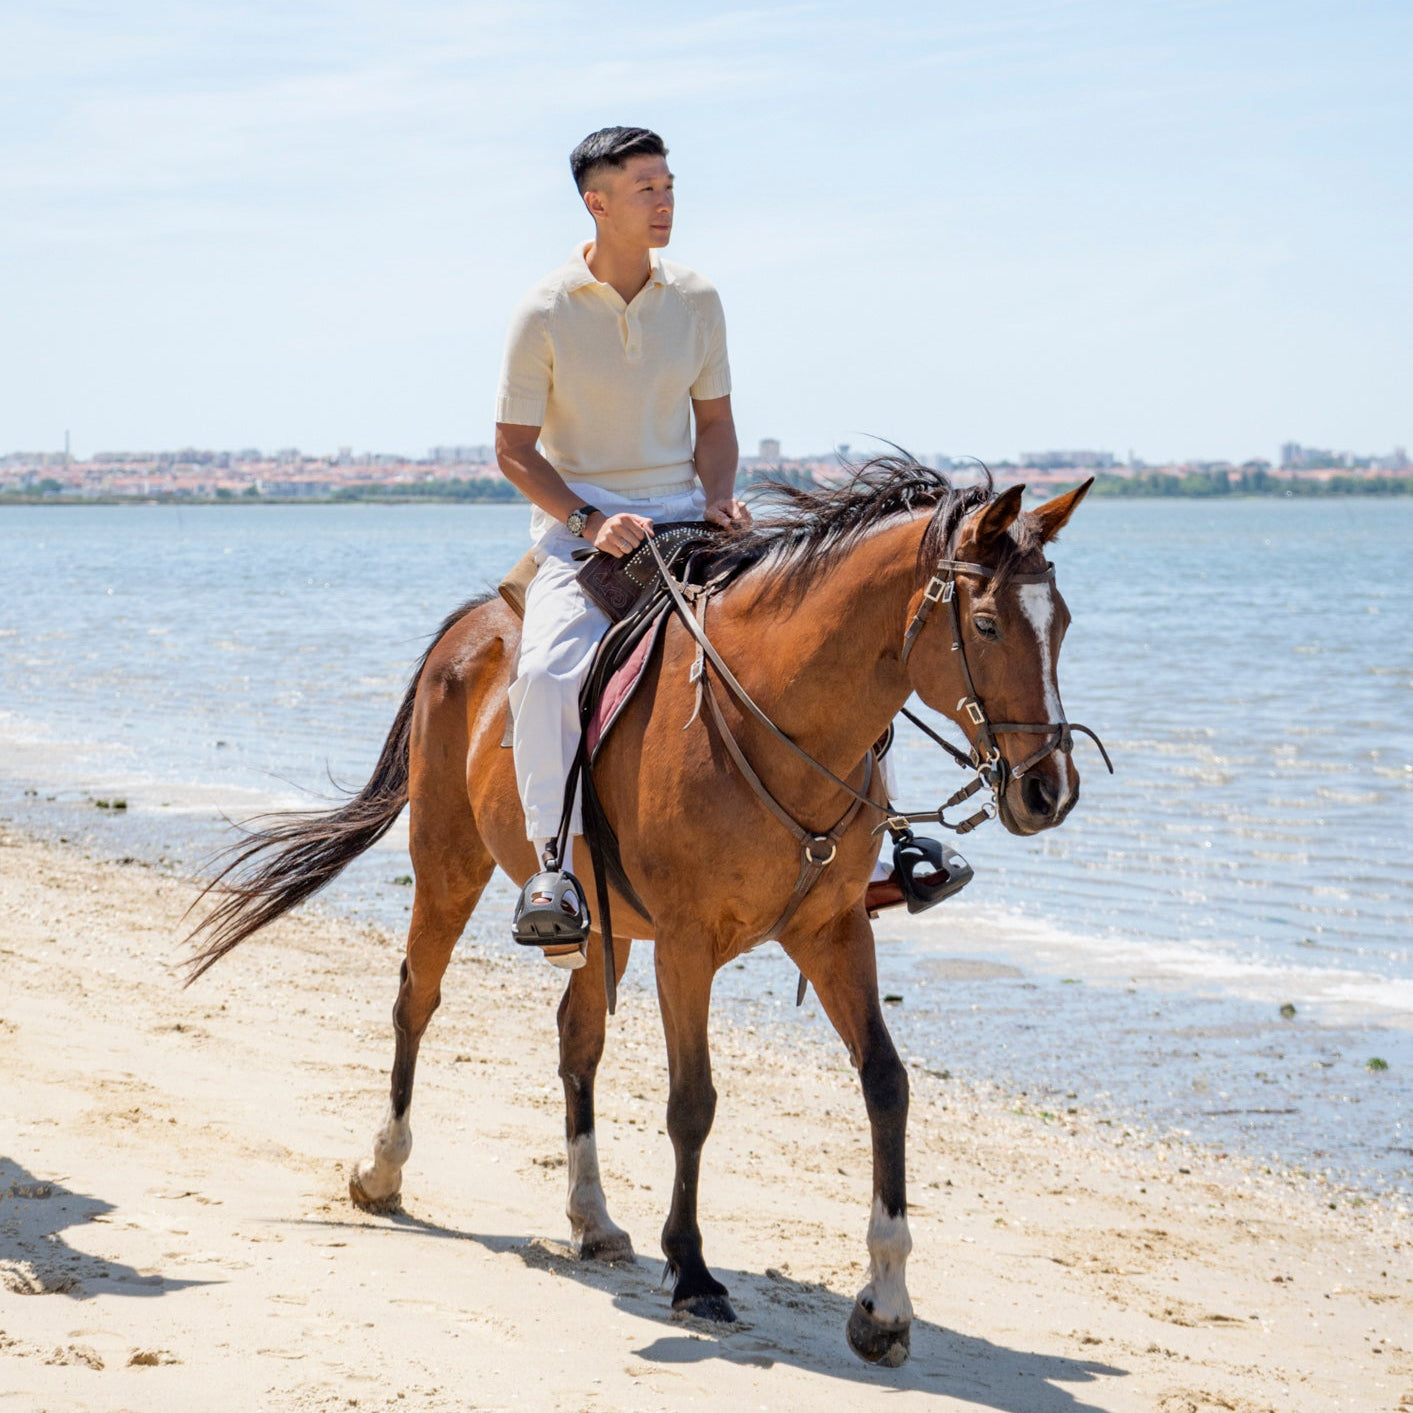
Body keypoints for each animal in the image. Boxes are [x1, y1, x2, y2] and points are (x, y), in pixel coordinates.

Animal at [187, 457, 1099, 1367]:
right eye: (985, 624)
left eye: (1060, 624)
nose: (1048, 791)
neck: (778, 716)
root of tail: (476, 620)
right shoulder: (685, 945)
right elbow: (691, 1100)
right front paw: (692, 1271)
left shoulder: (832, 931)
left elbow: (886, 1084)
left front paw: (884, 1301)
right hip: (448, 861)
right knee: (417, 997)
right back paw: (383, 1170)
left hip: (601, 922)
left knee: (575, 1039)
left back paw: (591, 1218)